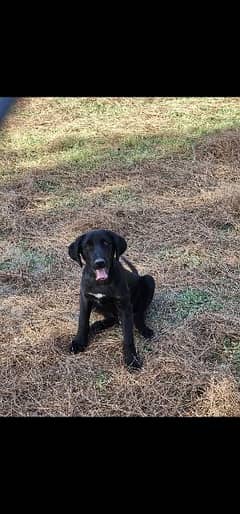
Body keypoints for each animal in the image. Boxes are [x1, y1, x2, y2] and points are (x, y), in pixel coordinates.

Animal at [68, 229, 155, 368]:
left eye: (106, 243)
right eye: (87, 246)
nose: (99, 263)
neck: (102, 283)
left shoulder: (124, 305)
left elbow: (128, 336)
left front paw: (131, 359)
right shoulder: (85, 298)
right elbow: (82, 321)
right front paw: (79, 342)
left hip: (149, 281)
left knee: (139, 314)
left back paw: (144, 328)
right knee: (112, 318)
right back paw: (98, 325)